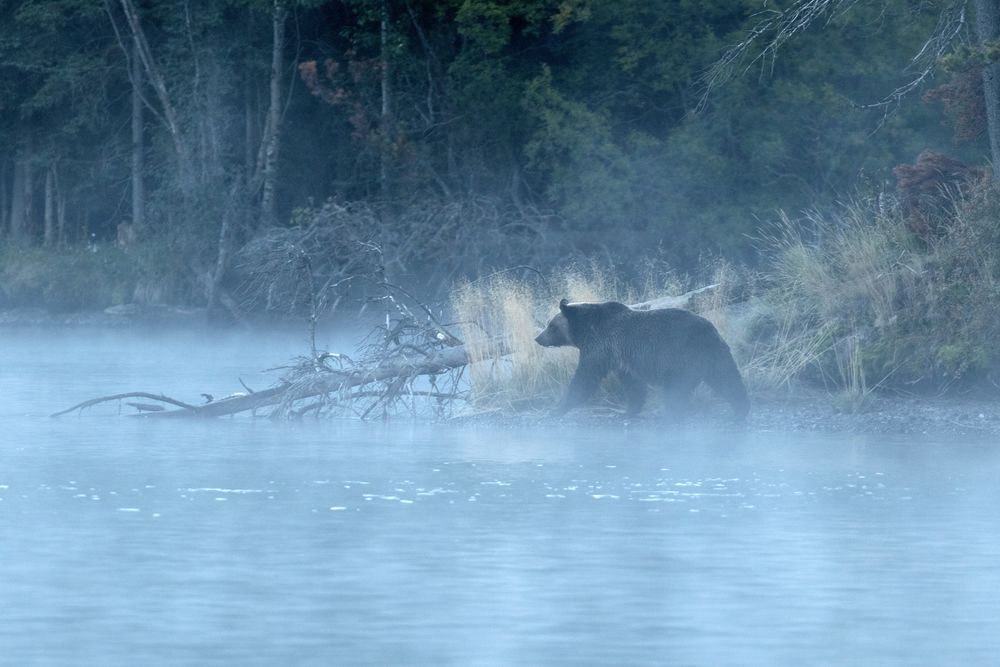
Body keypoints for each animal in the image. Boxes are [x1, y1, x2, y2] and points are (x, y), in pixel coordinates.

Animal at [536, 300, 748, 420]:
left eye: (551, 325)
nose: (538, 338)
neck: (585, 330)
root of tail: (709, 329)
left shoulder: (600, 347)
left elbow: (585, 377)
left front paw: (559, 409)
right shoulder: (621, 357)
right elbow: (633, 385)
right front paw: (630, 411)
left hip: (681, 357)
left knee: (677, 391)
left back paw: (672, 415)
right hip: (714, 354)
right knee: (727, 379)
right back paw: (741, 408)